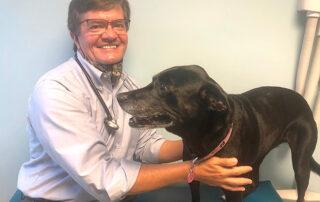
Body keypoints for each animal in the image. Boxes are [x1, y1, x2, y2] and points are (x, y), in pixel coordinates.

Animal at [117, 65, 320, 201]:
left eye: (163, 87)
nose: (119, 96)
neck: (204, 137)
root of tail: (304, 102)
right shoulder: (194, 178)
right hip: (256, 156)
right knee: (254, 182)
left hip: (300, 163)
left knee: (300, 190)